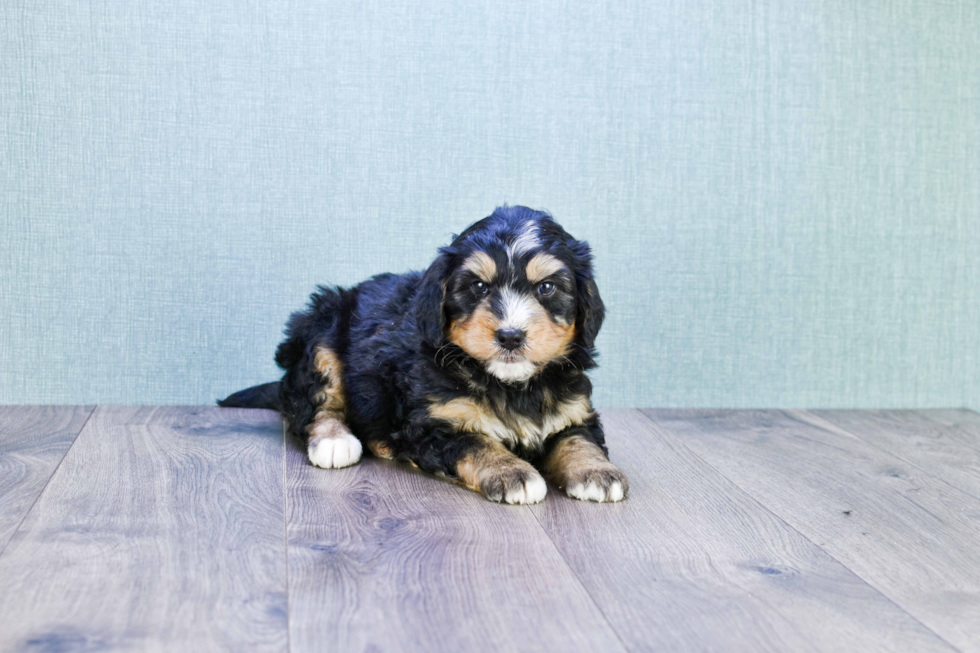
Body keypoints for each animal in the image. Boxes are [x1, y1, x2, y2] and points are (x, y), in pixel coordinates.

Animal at [221, 206, 628, 502]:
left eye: (546, 288)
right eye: (478, 287)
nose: (510, 336)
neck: (511, 386)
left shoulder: (573, 409)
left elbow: (578, 439)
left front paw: (598, 472)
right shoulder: (433, 423)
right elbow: (476, 442)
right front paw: (512, 473)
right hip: (321, 332)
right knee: (314, 406)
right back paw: (336, 441)